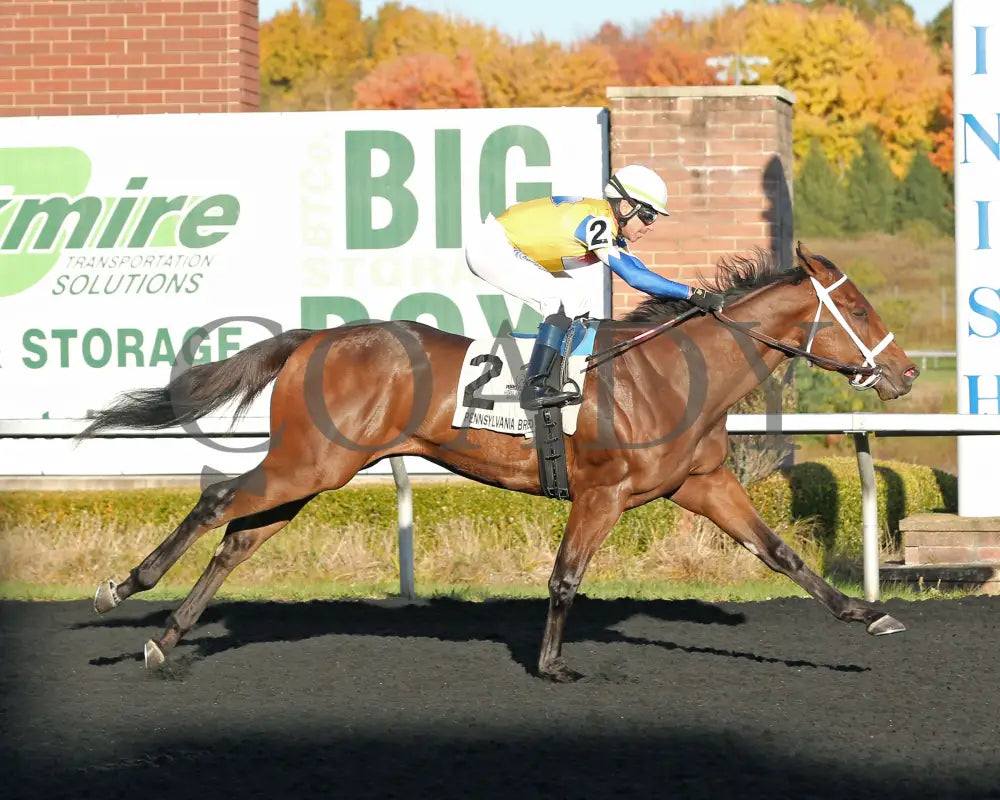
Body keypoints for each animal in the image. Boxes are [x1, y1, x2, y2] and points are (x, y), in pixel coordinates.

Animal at [82, 244, 916, 680]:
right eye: (859, 310)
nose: (906, 373)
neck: (674, 374)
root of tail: (314, 339)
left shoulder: (700, 483)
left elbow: (781, 554)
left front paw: (867, 613)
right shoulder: (604, 492)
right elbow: (565, 577)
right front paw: (550, 664)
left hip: (315, 467)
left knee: (241, 537)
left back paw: (167, 638)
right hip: (310, 462)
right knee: (219, 502)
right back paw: (123, 588)